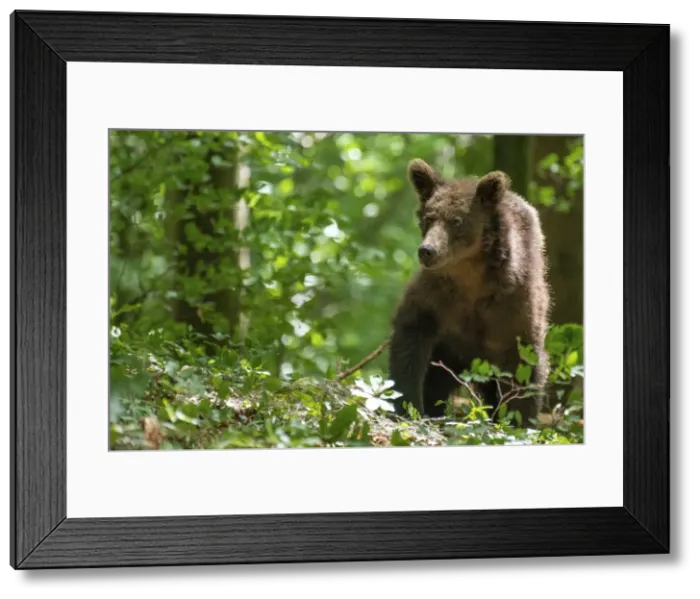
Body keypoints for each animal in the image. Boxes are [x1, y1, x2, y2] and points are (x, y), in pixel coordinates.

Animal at [387, 158, 551, 426]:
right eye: (429, 218)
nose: (427, 250)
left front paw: (519, 420)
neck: (471, 277)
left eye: (457, 220)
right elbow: (410, 344)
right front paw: (409, 406)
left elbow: (525, 367)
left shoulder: (514, 307)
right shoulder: (436, 300)